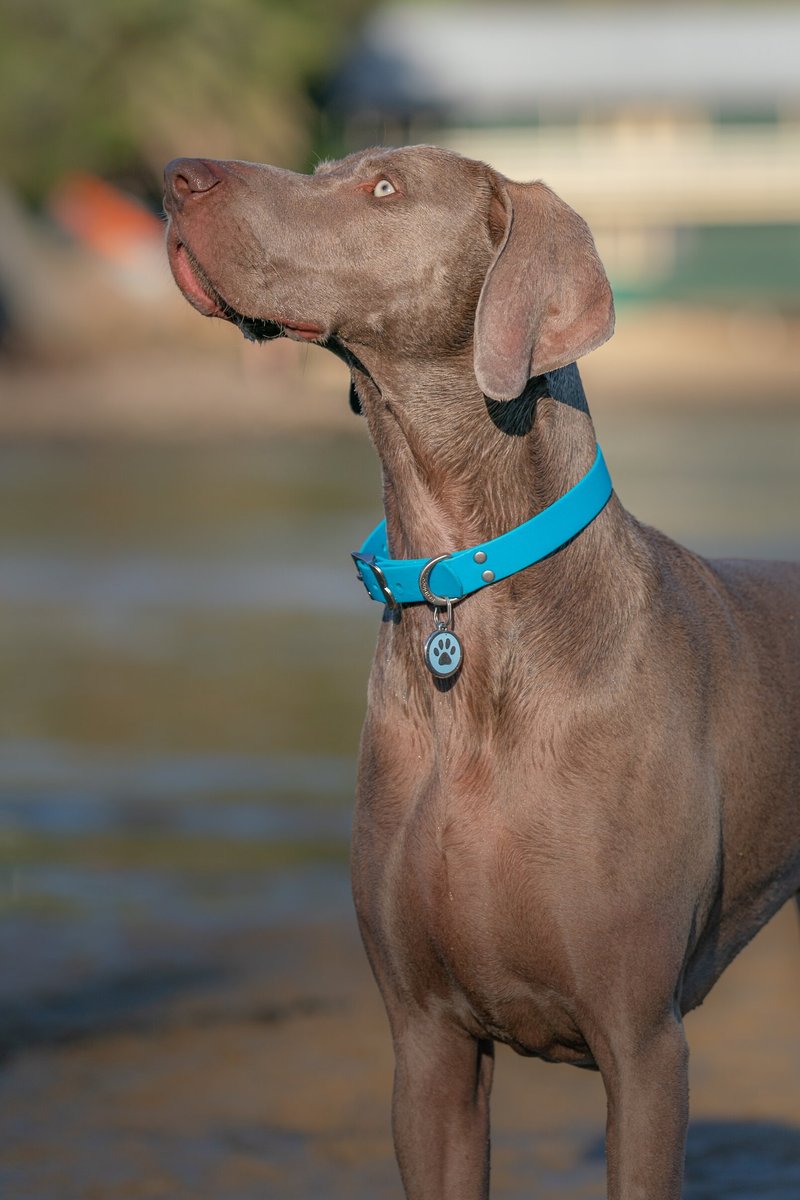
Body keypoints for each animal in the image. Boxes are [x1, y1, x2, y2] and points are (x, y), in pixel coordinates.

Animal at [164, 145, 800, 1195]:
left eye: (384, 188)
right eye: (326, 166)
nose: (178, 175)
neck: (462, 591)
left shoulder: (643, 1042)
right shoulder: (428, 1040)